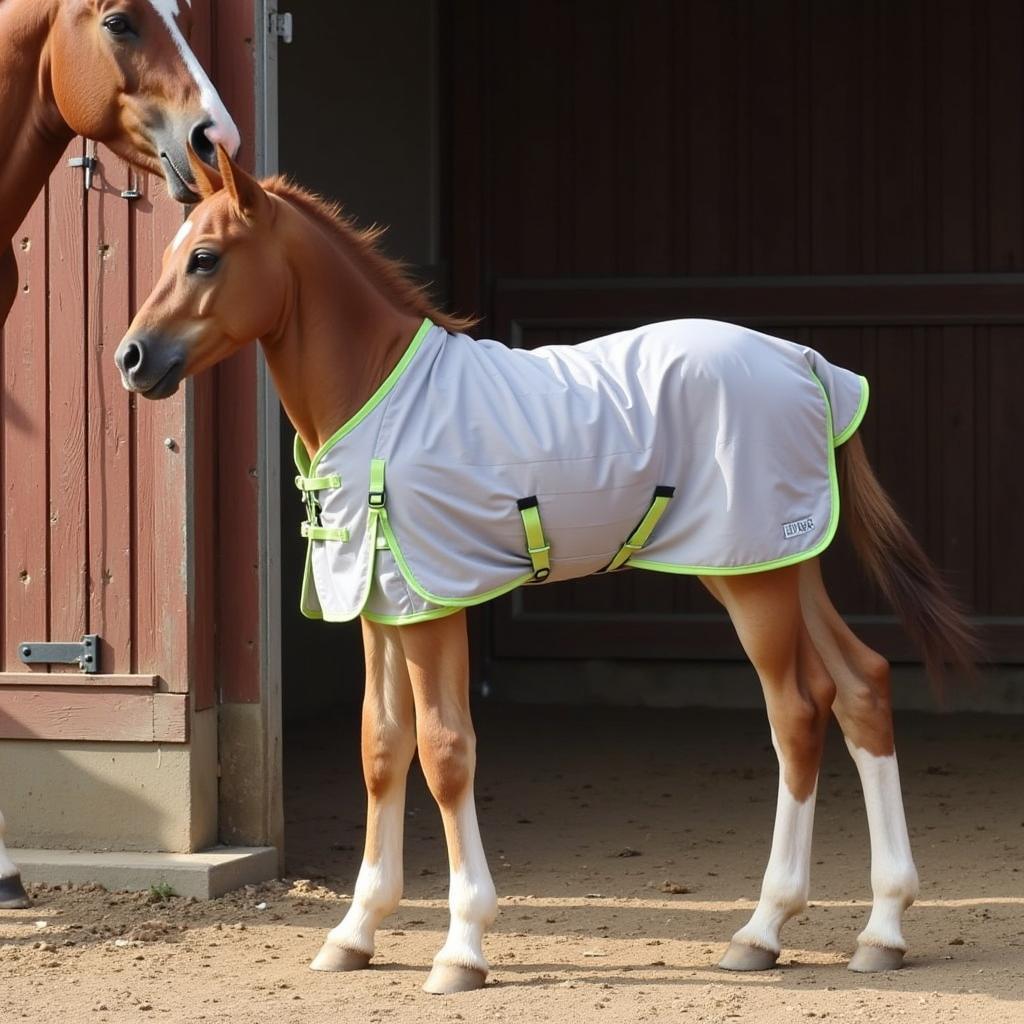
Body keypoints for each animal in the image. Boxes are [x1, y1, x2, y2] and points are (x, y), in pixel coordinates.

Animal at [114, 149, 974, 991]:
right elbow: (381, 749)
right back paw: (882, 930)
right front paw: (354, 933)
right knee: (860, 686)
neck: (379, 400)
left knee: (795, 713)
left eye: (204, 257)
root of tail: (806, 362)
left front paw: (462, 946)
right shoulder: (382, 609)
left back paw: (762, 929)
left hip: (750, 581)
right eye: (167, 252)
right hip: (783, 560)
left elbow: (445, 751)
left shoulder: (432, 610)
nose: (132, 358)